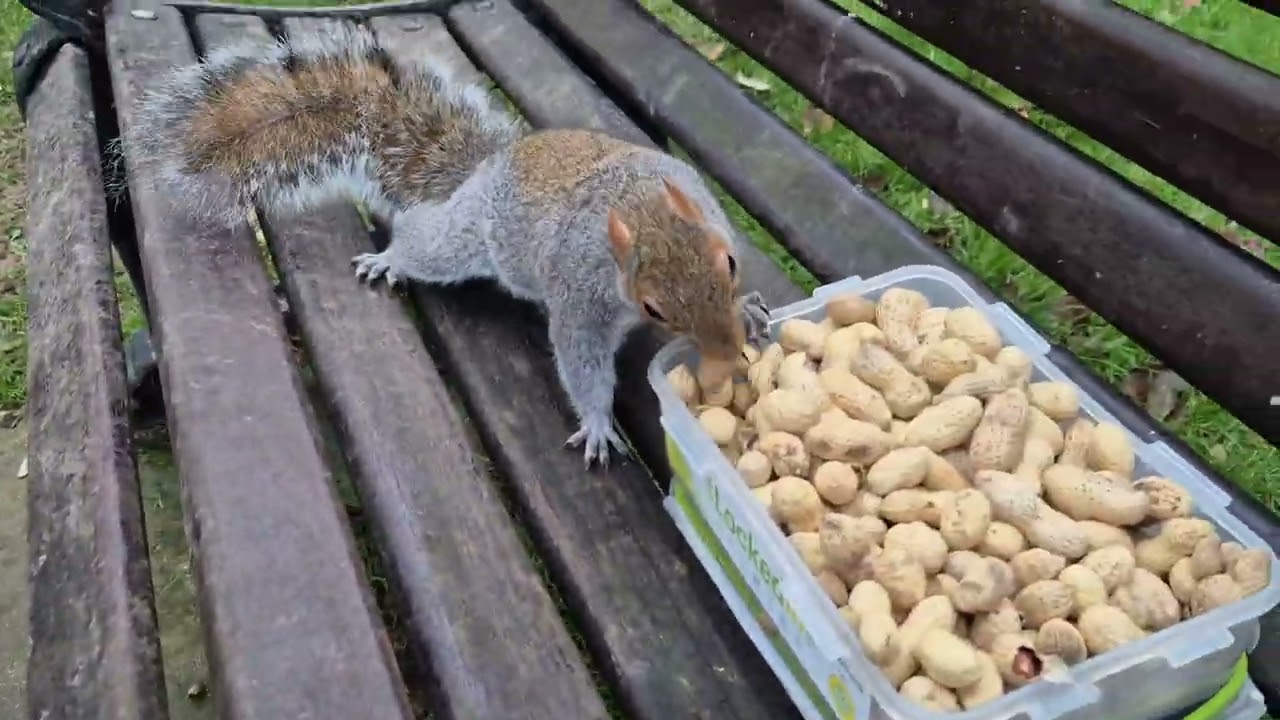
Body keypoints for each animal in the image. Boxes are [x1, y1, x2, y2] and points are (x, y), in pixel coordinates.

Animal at [127, 22, 771, 466]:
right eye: (652, 307)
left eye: (730, 261)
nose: (727, 351)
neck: (634, 202)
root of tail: (483, 168)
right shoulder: (579, 298)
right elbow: (581, 358)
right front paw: (596, 423)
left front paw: (754, 311)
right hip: (462, 240)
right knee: (423, 239)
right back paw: (390, 258)